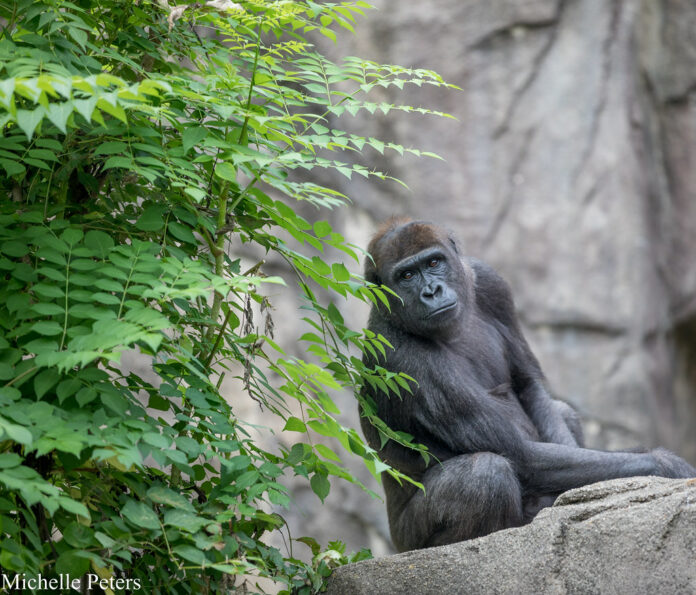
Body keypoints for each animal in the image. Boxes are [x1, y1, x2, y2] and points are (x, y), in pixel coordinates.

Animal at [359, 217, 696, 552]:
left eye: (433, 262)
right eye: (406, 276)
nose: (431, 291)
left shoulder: (490, 281)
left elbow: (529, 387)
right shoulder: (398, 355)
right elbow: (520, 453)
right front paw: (666, 464)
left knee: (560, 413)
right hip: (406, 540)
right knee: (486, 472)